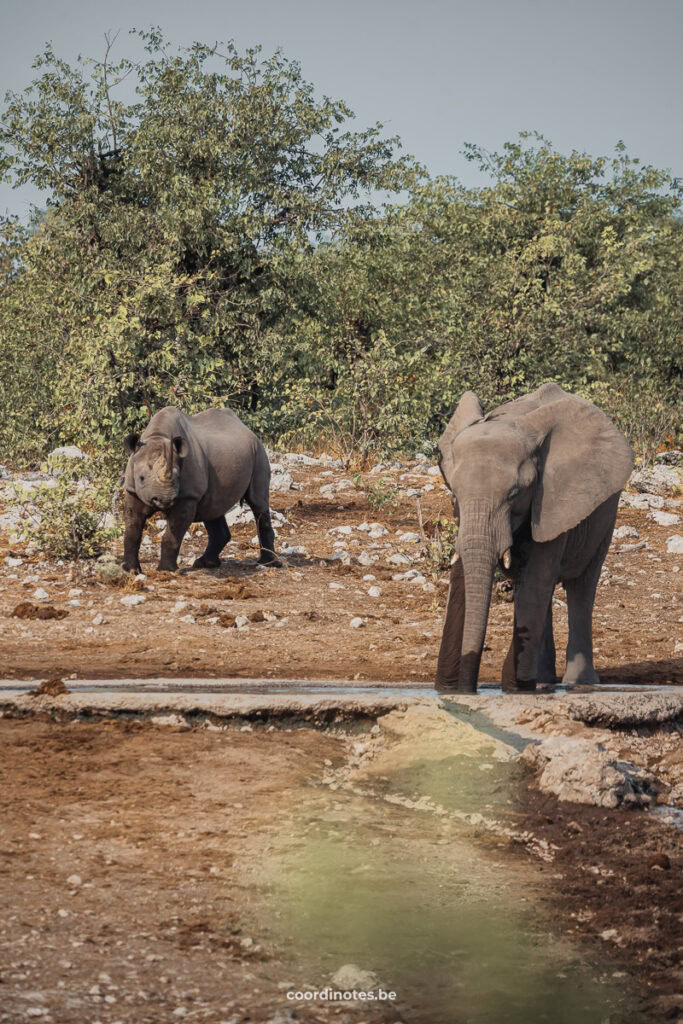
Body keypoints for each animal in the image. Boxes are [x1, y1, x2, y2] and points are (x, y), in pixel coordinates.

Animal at [122, 403, 280, 573]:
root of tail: (246, 428)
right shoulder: (133, 490)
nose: (165, 499)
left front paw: (166, 570)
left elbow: (172, 535)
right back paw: (205, 563)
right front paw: (131, 570)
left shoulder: (188, 496)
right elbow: (132, 530)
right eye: (141, 478)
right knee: (212, 508)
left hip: (259, 451)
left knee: (258, 503)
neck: (157, 436)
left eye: (178, 478)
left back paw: (269, 563)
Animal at [436, 385, 634, 696]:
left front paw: (515, 688)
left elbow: (536, 582)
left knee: (580, 586)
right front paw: (446, 689)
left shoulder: (552, 500)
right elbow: (462, 579)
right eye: (454, 495)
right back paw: (543, 680)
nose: (468, 689)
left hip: (605, 515)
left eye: (515, 494)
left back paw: (576, 682)